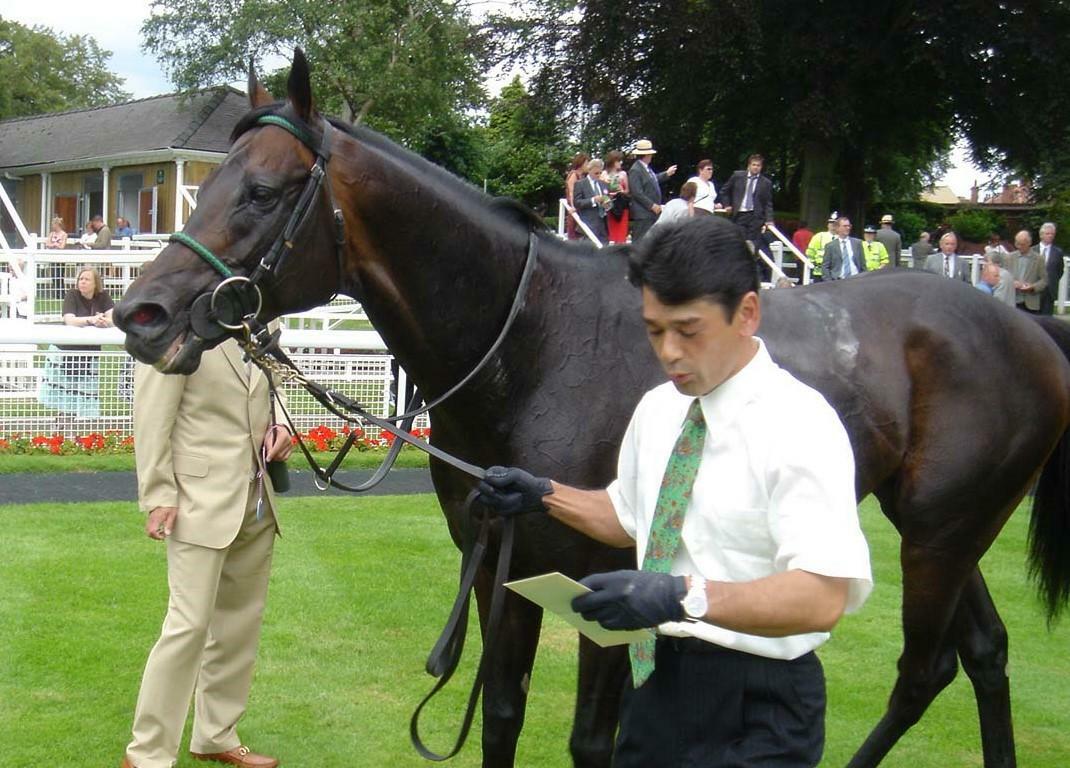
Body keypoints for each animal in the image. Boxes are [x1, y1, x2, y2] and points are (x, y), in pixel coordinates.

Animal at [117, 51, 1070, 765]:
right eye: (209, 181)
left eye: (263, 192)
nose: (142, 314)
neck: (536, 342)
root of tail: (1025, 324)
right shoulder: (500, 562)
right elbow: (500, 714)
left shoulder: (615, 575)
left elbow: (592, 742)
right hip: (937, 524)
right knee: (982, 654)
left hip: (943, 531)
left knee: (922, 669)